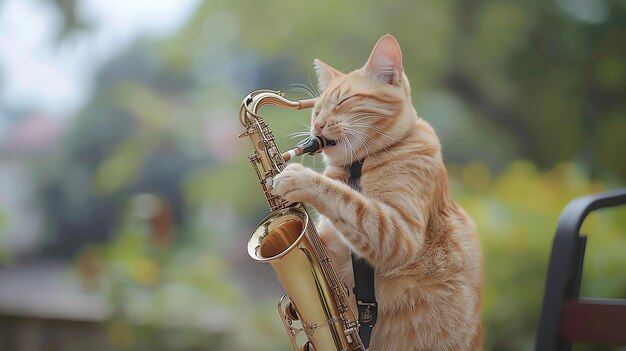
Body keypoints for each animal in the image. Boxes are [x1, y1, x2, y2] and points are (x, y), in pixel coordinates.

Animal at [270, 33, 480, 351]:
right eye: (317, 109)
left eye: (344, 101)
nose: (316, 125)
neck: (359, 165)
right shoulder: (331, 244)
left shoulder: (399, 235)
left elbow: (348, 201)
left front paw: (298, 178)